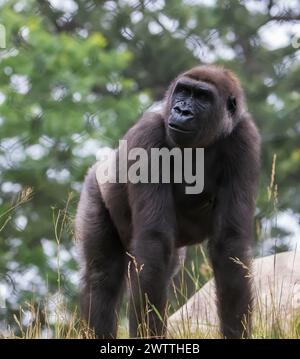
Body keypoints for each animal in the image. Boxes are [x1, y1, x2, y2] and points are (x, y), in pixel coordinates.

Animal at [75, 65, 260, 340]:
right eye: (183, 91)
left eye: (202, 97)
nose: (182, 110)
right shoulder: (147, 135)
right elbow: (153, 242)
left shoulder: (244, 139)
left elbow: (230, 244)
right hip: (94, 185)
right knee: (102, 277)